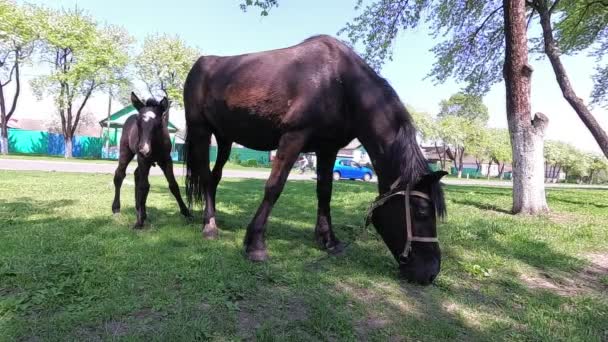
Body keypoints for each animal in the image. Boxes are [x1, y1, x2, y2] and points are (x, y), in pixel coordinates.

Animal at [111, 92, 190, 228]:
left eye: (159, 123)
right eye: (138, 122)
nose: (144, 149)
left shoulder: (166, 160)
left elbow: (173, 185)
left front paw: (186, 212)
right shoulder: (143, 159)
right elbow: (144, 186)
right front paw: (139, 221)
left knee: (137, 174)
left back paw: (139, 208)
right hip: (126, 152)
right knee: (120, 174)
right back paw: (117, 207)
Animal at [183, 35, 444, 286]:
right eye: (422, 212)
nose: (431, 272)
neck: (339, 83)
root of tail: (200, 64)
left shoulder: (328, 148)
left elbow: (325, 191)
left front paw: (328, 239)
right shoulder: (294, 136)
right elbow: (274, 187)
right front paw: (255, 244)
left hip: (225, 139)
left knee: (215, 177)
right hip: (200, 131)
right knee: (206, 177)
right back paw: (209, 226)